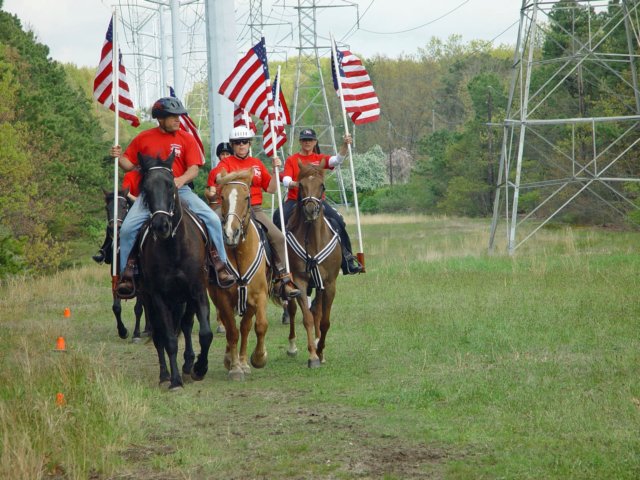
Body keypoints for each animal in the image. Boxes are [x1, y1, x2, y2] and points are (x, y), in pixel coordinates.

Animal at [100, 188, 147, 342]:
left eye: (124, 206)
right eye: (107, 208)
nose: (114, 228)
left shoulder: (141, 283)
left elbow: (138, 308)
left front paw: (136, 334)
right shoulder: (116, 280)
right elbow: (116, 307)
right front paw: (122, 331)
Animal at [137, 151, 212, 390]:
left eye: (170, 184)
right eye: (145, 188)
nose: (161, 226)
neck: (174, 248)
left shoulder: (197, 291)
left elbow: (204, 333)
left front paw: (199, 368)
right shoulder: (159, 297)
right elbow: (169, 339)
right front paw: (175, 380)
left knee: (186, 326)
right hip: (151, 300)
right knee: (159, 336)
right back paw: (164, 375)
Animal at [209, 167, 268, 380]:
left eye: (247, 197)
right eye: (222, 196)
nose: (231, 233)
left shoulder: (258, 295)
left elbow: (258, 326)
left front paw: (257, 359)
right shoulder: (223, 298)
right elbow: (232, 331)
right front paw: (234, 367)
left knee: (245, 326)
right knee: (230, 327)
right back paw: (230, 360)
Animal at [282, 160, 342, 368]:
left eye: (322, 186)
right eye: (300, 185)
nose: (310, 210)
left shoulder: (329, 284)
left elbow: (324, 320)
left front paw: (321, 351)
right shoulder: (300, 282)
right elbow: (306, 318)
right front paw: (313, 356)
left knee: (317, 311)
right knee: (293, 311)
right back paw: (292, 347)